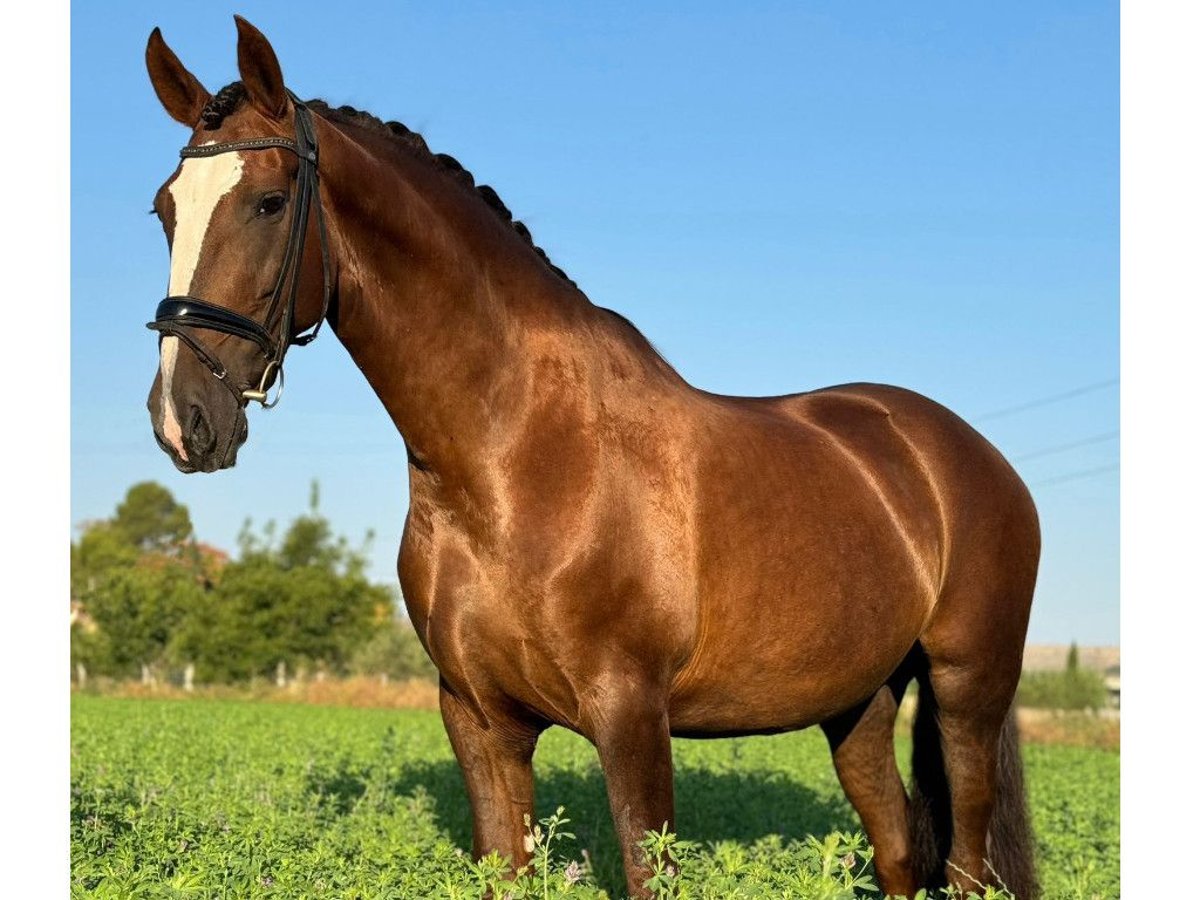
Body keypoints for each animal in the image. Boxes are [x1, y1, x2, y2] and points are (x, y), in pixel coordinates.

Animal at [140, 17, 1041, 897]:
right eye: (163, 211)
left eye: (268, 202)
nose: (184, 420)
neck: (519, 459)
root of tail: (967, 455)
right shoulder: (479, 719)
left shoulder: (631, 716)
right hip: (858, 705)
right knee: (898, 853)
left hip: (966, 693)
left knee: (967, 866)